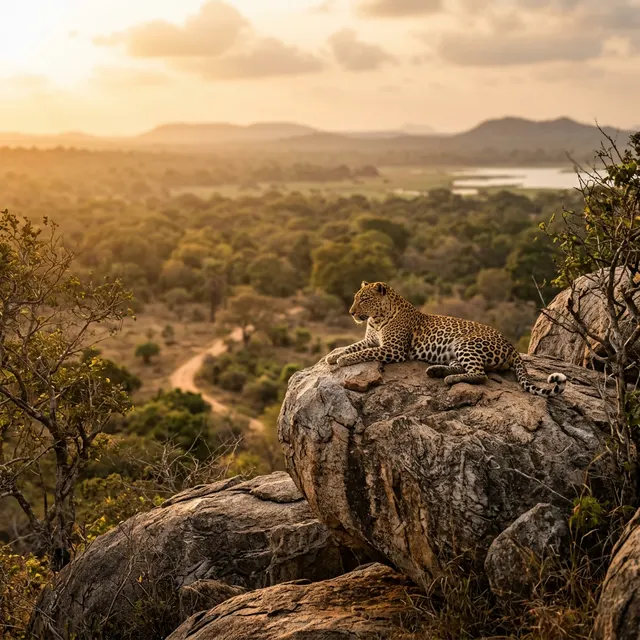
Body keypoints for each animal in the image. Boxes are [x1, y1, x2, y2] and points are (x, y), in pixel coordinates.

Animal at [325, 281, 567, 397]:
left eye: (364, 299)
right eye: (357, 298)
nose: (351, 312)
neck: (376, 319)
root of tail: (510, 344)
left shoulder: (393, 349)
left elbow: (362, 353)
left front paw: (342, 360)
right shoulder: (372, 340)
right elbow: (351, 346)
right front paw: (332, 356)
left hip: (466, 343)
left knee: (480, 375)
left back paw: (449, 379)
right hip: (458, 352)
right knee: (465, 367)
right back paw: (436, 371)